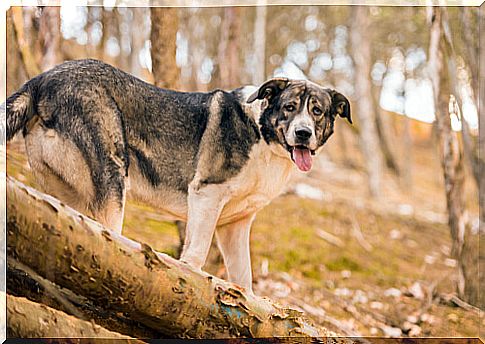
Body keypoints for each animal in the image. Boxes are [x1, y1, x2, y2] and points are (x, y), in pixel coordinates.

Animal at [5, 59, 350, 292]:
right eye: (290, 107)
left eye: (317, 111)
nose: (303, 133)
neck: (263, 136)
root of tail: (41, 79)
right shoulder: (207, 196)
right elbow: (195, 257)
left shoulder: (234, 226)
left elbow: (244, 280)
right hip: (112, 177)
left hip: (63, 195)